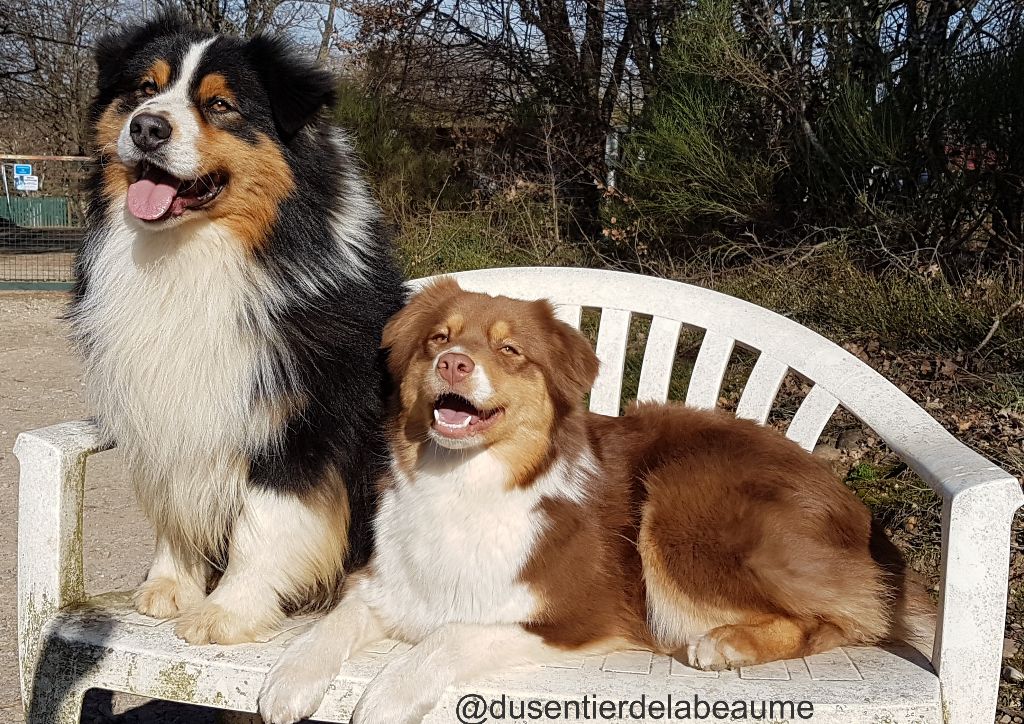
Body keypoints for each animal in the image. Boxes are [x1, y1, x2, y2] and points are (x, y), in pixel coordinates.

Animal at [66, 14, 403, 643]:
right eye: (145, 90)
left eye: (220, 104)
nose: (146, 128)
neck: (194, 253)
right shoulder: (165, 408)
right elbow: (176, 500)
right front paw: (170, 585)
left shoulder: (298, 423)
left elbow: (262, 523)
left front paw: (227, 611)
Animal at [258, 278, 937, 724]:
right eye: (437, 339)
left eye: (509, 350)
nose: (453, 363)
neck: (466, 484)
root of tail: (853, 506)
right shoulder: (390, 585)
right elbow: (332, 623)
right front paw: (287, 682)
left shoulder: (577, 615)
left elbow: (449, 636)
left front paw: (386, 696)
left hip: (681, 500)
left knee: (850, 618)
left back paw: (729, 642)